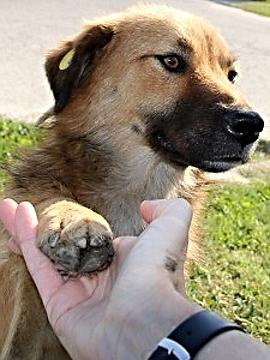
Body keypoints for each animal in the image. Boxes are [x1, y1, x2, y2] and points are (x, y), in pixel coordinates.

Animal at [0, 4, 264, 358]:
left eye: (230, 74)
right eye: (171, 61)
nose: (252, 125)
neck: (141, 185)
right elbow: (46, 195)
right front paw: (73, 219)